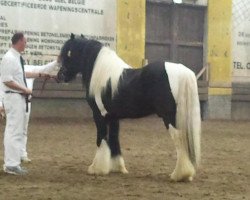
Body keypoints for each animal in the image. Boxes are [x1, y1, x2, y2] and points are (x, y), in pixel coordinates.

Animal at [57, 33, 201, 182]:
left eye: (69, 53)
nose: (60, 76)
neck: (103, 76)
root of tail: (183, 71)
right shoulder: (113, 117)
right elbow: (114, 140)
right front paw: (117, 168)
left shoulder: (99, 116)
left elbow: (101, 139)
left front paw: (97, 169)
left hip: (170, 118)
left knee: (180, 140)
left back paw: (179, 175)